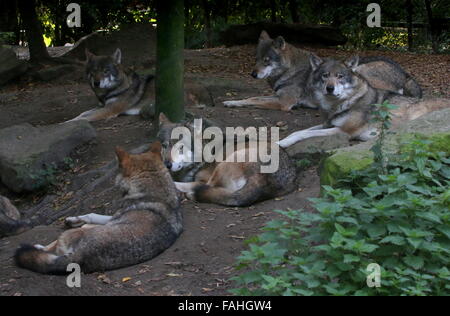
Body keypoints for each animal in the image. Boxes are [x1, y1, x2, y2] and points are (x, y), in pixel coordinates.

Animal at [14, 142, 183, 276]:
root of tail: (81, 256)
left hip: (71, 235)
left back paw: (36, 246)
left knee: (49, 247)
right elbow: (92, 214)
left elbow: (91, 217)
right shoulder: (112, 217)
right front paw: (73, 219)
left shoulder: (113, 218)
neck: (156, 191)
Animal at [156, 113, 298, 207]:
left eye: (181, 147)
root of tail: (264, 176)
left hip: (227, 162)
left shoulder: (202, 178)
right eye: (164, 146)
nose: (167, 165)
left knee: (204, 188)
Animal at [278, 54, 450, 148]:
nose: (330, 88)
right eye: (325, 76)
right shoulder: (328, 124)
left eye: (340, 76)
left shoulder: (343, 131)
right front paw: (281, 142)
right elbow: (298, 132)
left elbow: (306, 134)